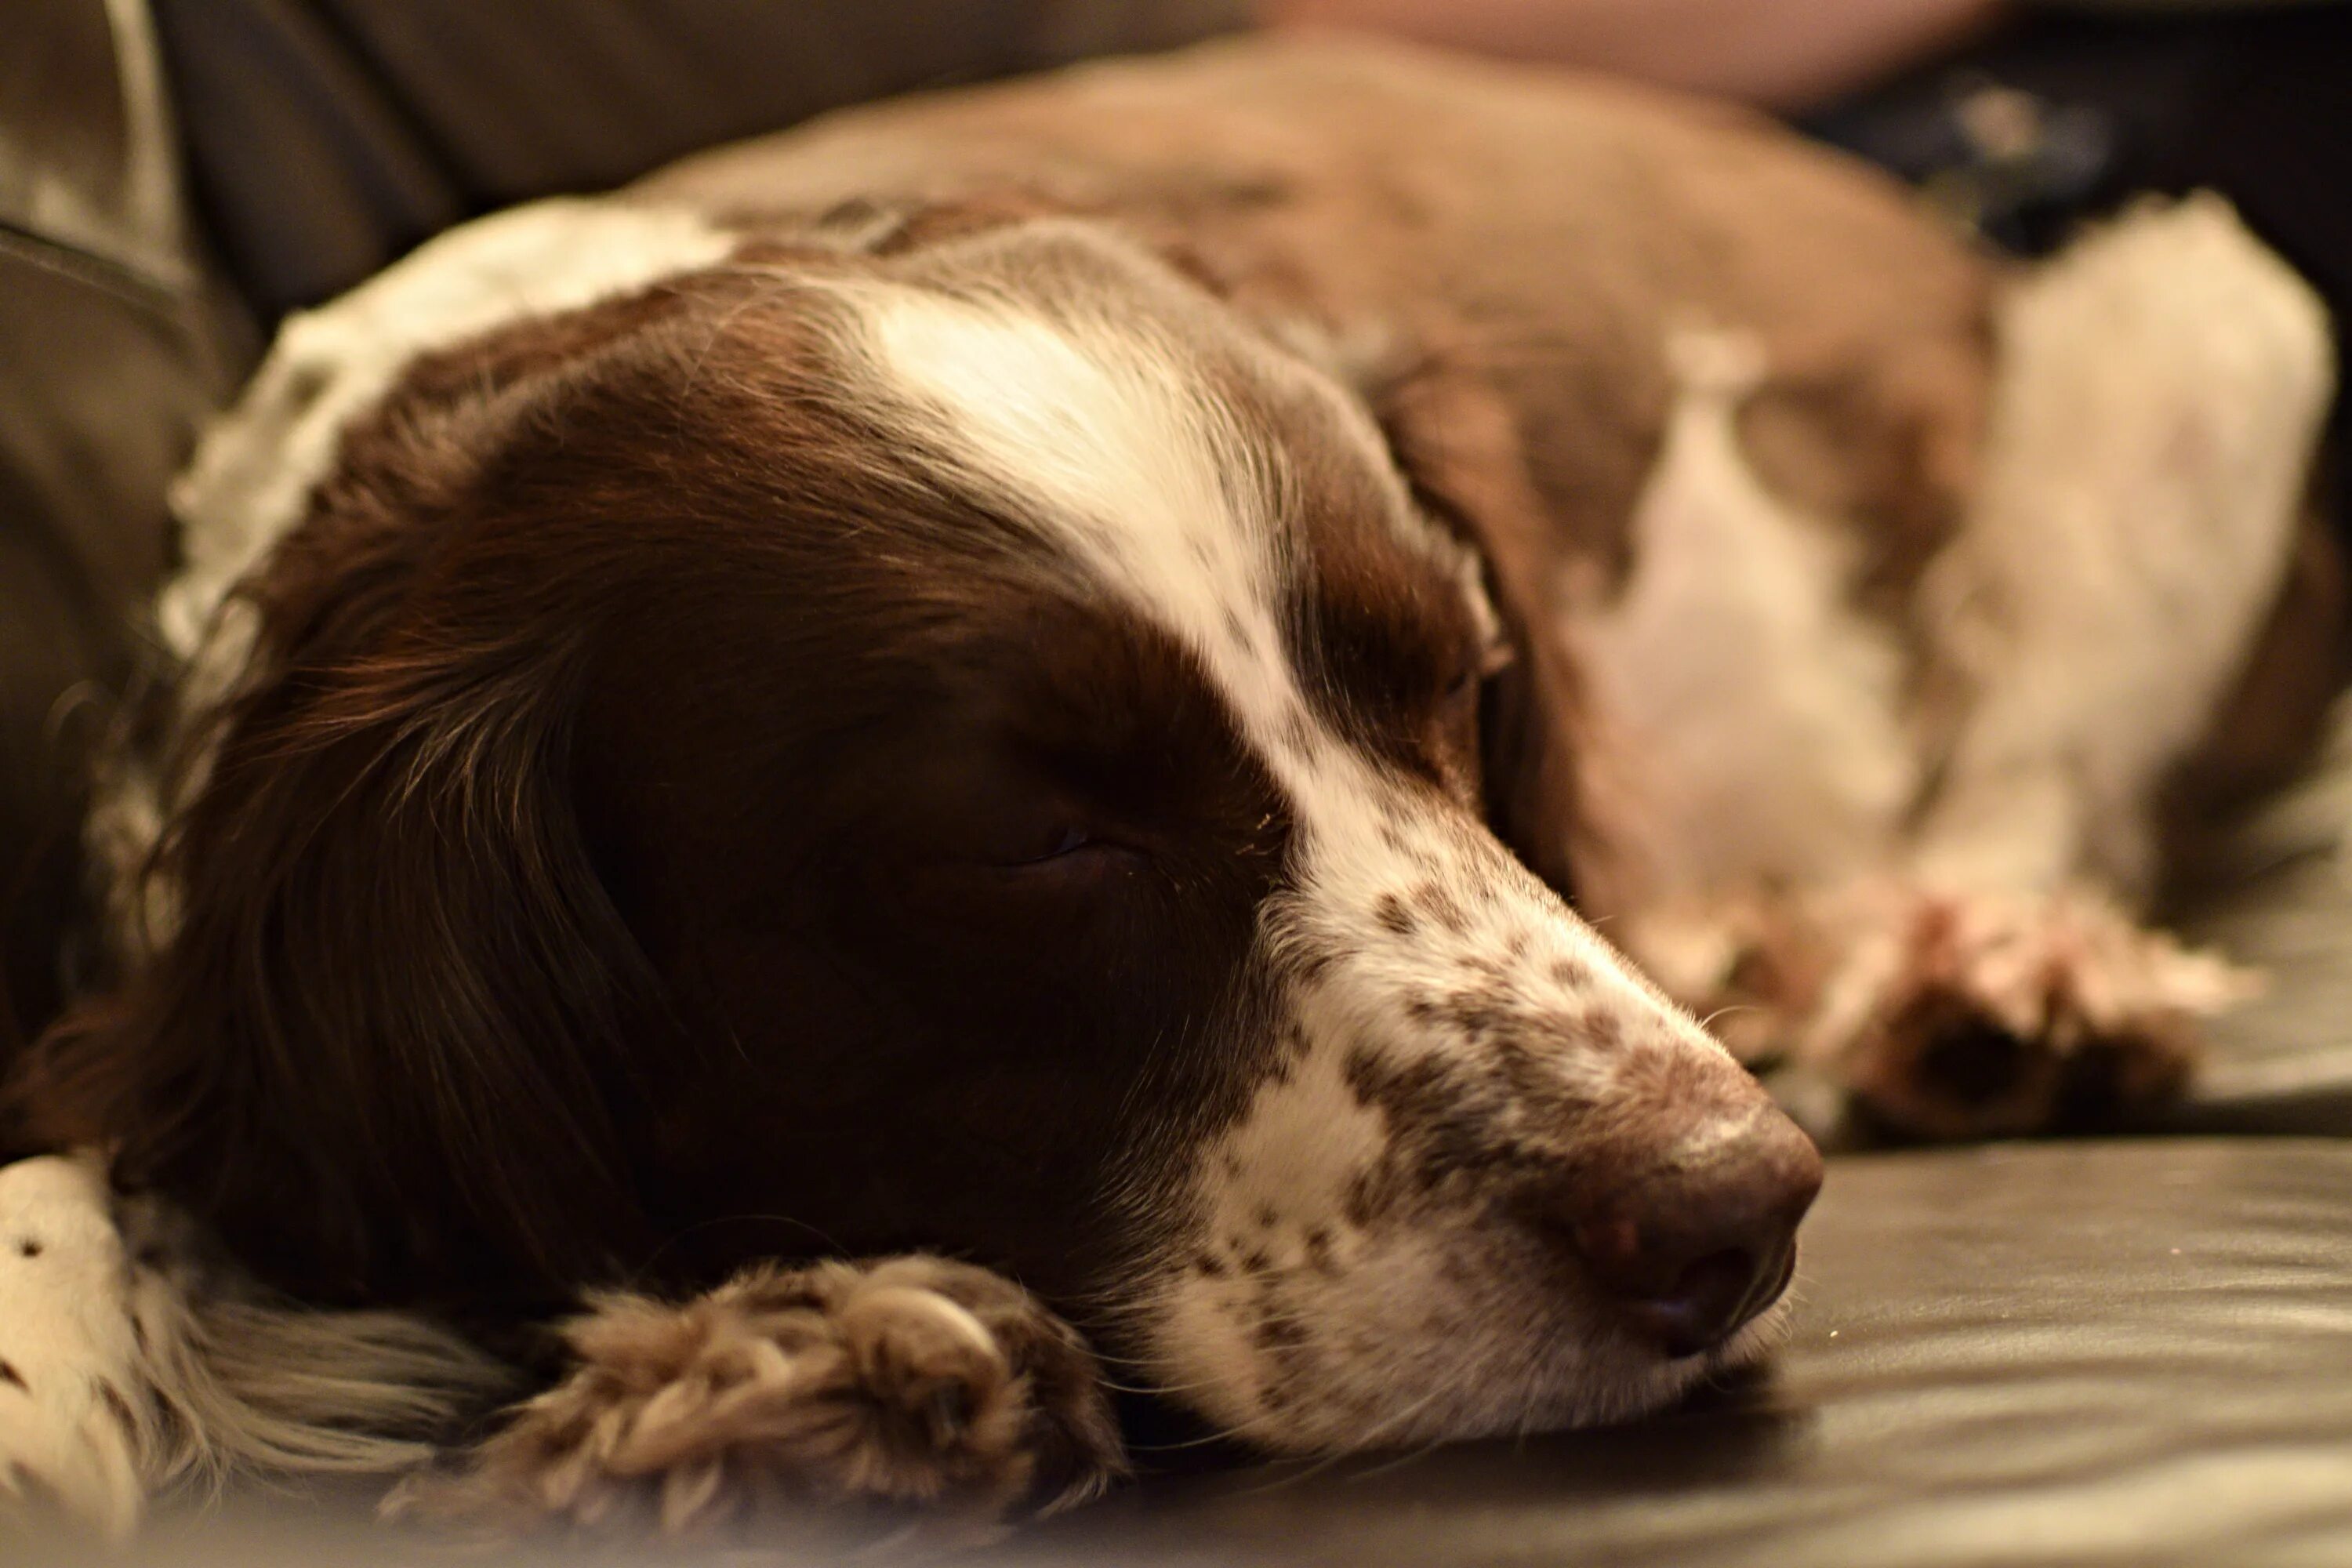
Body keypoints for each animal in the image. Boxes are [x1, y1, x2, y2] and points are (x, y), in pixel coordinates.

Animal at [0, 34, 2324, 1542]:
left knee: (2028, 784)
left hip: (2208, 319)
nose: (1734, 1211)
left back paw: (1992, 977)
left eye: (1465, 685)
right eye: (1038, 840)